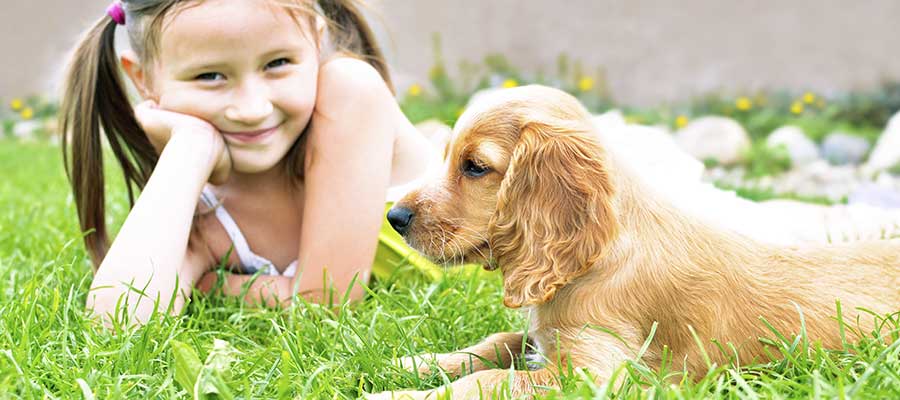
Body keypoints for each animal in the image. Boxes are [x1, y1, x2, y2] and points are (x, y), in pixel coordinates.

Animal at [370, 86, 900, 398]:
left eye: (475, 167)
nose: (394, 217)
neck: (598, 260)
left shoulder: (590, 373)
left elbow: (486, 381)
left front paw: (394, 393)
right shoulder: (548, 340)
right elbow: (494, 345)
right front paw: (411, 363)